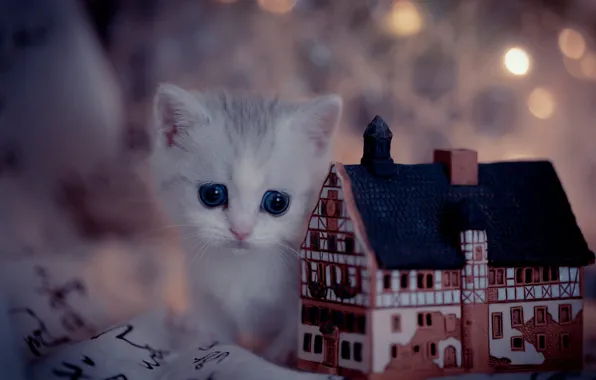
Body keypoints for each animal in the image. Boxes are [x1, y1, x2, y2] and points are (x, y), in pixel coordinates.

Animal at [149, 85, 342, 366]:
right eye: (212, 194)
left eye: (277, 202)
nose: (241, 230)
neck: (242, 269)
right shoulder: (205, 298)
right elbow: (219, 339)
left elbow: (288, 340)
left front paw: (277, 358)